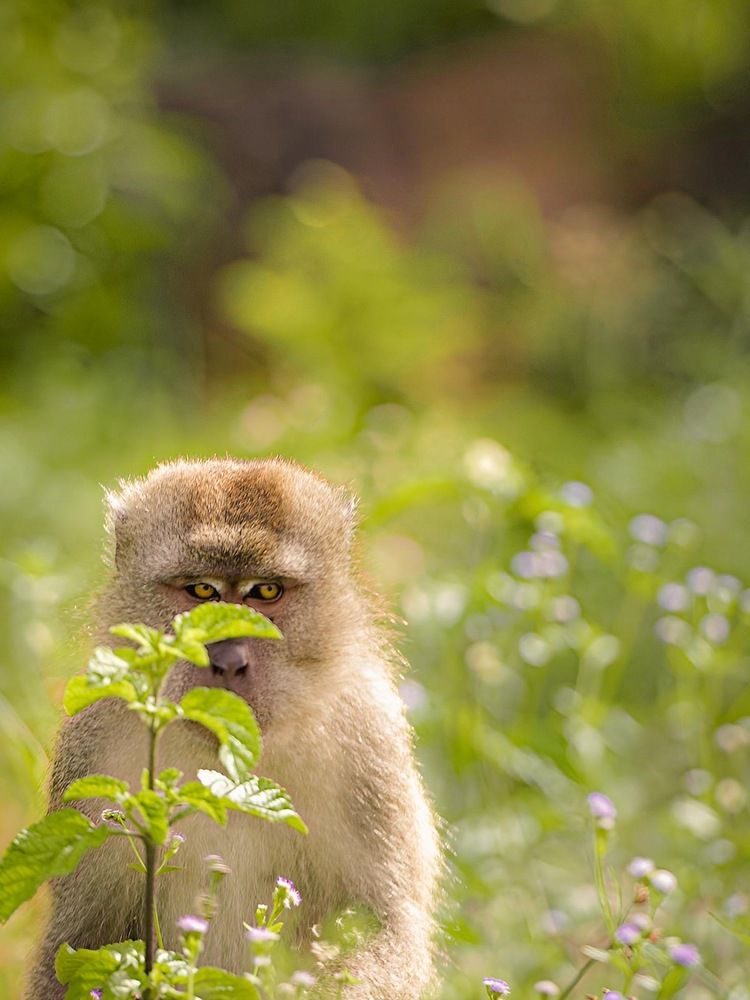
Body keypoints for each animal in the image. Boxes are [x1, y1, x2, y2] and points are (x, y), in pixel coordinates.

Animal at [28, 457, 441, 999]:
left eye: (265, 591)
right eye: (202, 590)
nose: (227, 661)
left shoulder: (368, 741)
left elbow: (383, 927)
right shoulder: (93, 750)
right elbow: (79, 944)